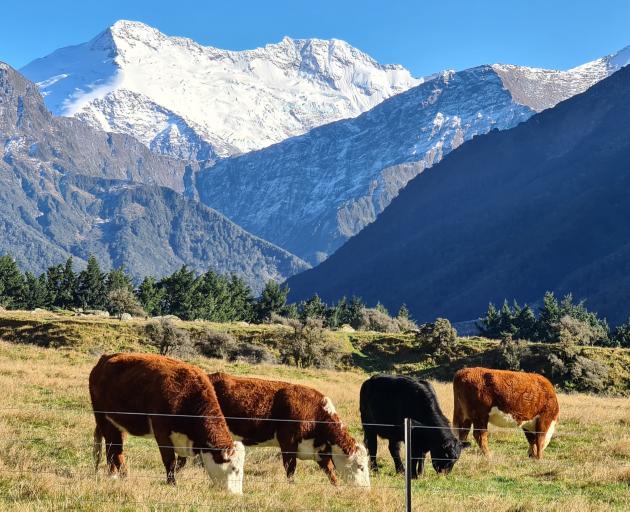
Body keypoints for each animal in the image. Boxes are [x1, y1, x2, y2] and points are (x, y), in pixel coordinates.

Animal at [89, 354, 247, 494]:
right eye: (234, 469)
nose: (237, 494)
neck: (187, 395)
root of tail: (105, 358)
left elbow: (181, 462)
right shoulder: (162, 432)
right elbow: (170, 460)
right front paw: (172, 484)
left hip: (118, 423)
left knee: (114, 447)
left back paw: (114, 474)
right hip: (102, 418)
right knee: (113, 448)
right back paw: (119, 476)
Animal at [202, 372, 370, 488]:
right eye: (360, 467)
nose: (366, 489)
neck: (316, 414)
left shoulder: (320, 450)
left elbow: (330, 472)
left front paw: (337, 489)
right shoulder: (288, 443)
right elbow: (290, 468)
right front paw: (292, 486)